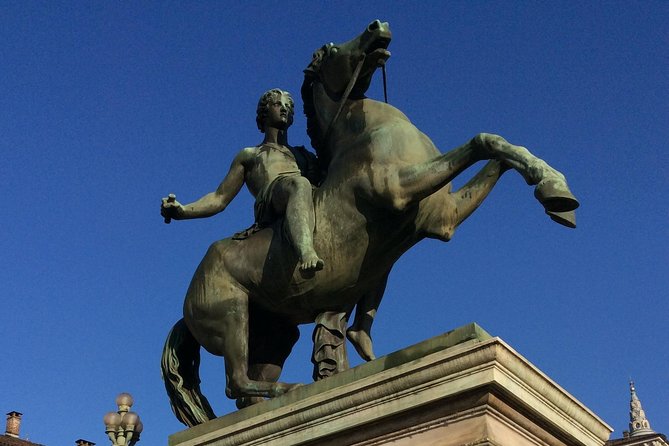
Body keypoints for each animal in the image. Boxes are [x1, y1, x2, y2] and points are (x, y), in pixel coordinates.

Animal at [160, 19, 576, 426]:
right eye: (330, 50)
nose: (379, 26)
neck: (365, 133)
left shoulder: (443, 217)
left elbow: (496, 147)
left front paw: (556, 193)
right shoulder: (400, 189)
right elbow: (480, 142)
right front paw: (555, 191)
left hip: (274, 336)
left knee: (247, 393)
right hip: (232, 315)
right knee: (235, 381)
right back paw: (292, 386)